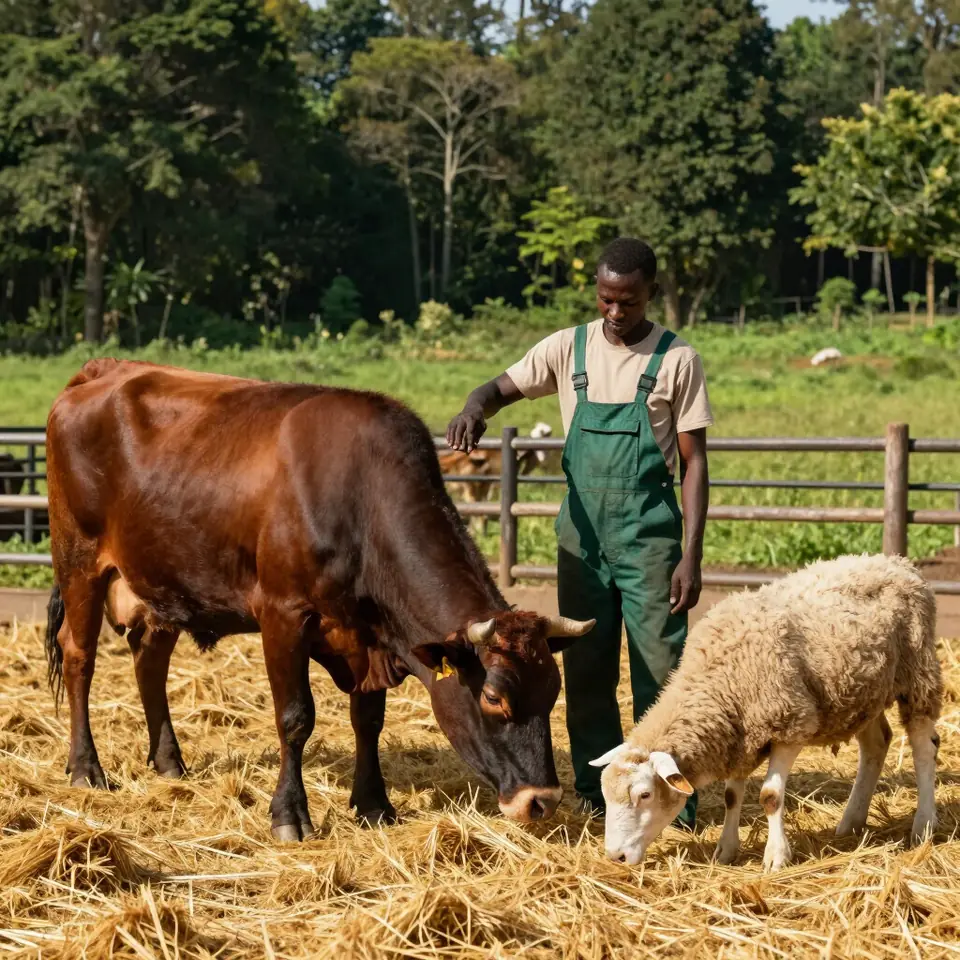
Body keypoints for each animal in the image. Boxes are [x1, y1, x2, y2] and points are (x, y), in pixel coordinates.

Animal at [43, 359, 595, 840]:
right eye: (494, 697)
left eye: (553, 692)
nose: (541, 800)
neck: (359, 500)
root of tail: (102, 370)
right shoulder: (282, 616)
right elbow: (295, 718)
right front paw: (289, 813)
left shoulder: (369, 635)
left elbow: (368, 720)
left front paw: (374, 804)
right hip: (79, 561)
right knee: (79, 656)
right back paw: (86, 767)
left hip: (160, 581)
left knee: (150, 661)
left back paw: (169, 761)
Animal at [590, 553, 943, 872]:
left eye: (645, 795)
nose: (616, 857)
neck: (717, 681)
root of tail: (896, 561)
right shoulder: (738, 736)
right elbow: (732, 796)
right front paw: (726, 850)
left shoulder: (790, 724)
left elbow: (770, 796)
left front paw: (776, 857)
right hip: (861, 693)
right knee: (877, 744)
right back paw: (851, 822)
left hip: (918, 672)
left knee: (924, 747)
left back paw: (924, 825)